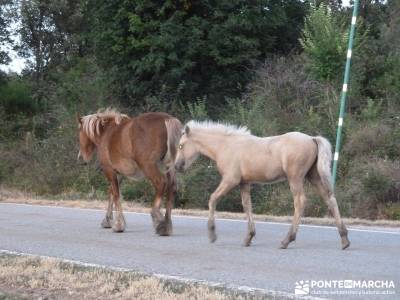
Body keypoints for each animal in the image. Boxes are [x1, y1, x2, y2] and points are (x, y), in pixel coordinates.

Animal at [175, 120, 350, 250]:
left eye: (181, 145)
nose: (177, 166)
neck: (225, 146)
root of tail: (312, 138)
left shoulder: (230, 180)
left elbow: (213, 199)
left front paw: (212, 234)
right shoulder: (244, 183)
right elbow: (247, 206)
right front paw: (249, 237)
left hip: (295, 178)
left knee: (300, 202)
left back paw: (287, 240)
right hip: (313, 177)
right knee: (329, 199)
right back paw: (344, 239)